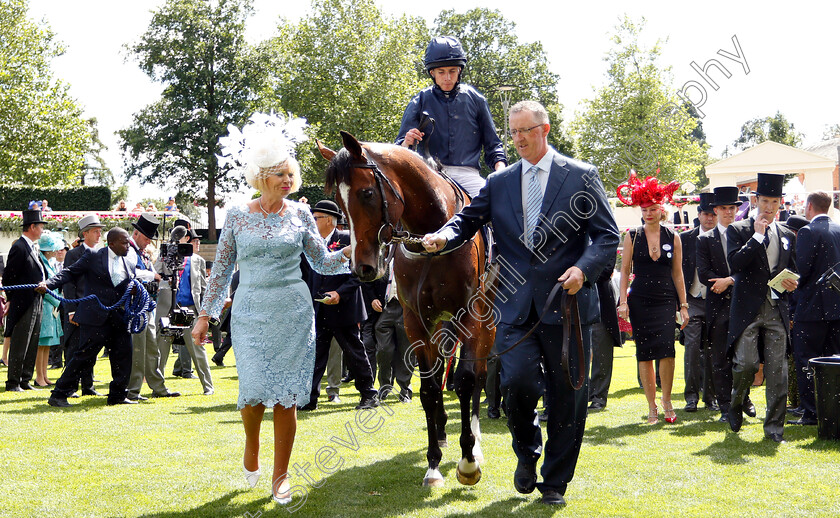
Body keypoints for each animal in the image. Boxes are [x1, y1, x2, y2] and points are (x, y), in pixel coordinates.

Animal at [318, 132, 496, 490]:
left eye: (367, 192)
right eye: (339, 202)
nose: (362, 267)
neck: (436, 237)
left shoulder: (470, 317)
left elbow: (467, 380)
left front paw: (468, 460)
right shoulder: (416, 321)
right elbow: (428, 387)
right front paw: (433, 464)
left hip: (487, 322)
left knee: (480, 374)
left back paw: (474, 441)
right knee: (441, 371)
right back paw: (441, 431)